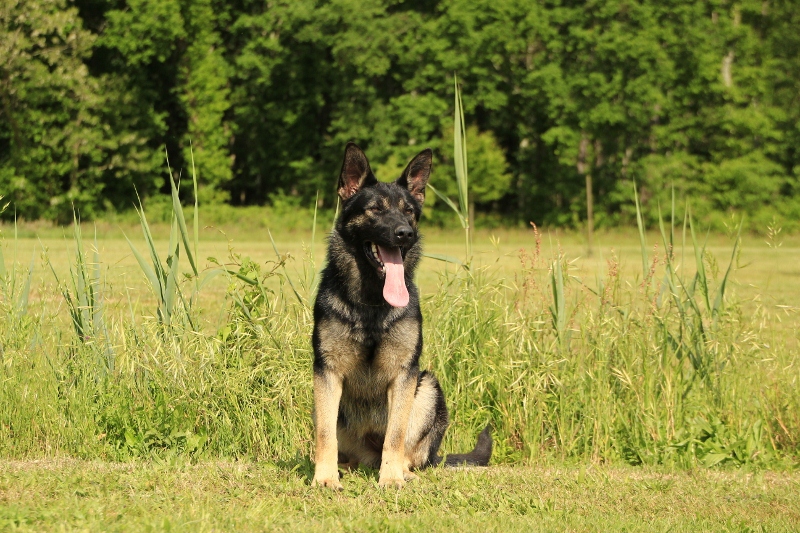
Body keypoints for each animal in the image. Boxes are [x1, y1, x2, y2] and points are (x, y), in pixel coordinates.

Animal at [310, 142, 490, 490]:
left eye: (408, 212)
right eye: (375, 210)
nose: (404, 233)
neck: (370, 304)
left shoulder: (405, 374)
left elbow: (395, 435)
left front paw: (391, 478)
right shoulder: (327, 373)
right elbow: (325, 435)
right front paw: (324, 478)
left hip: (428, 387)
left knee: (408, 453)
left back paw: (401, 471)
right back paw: (346, 468)